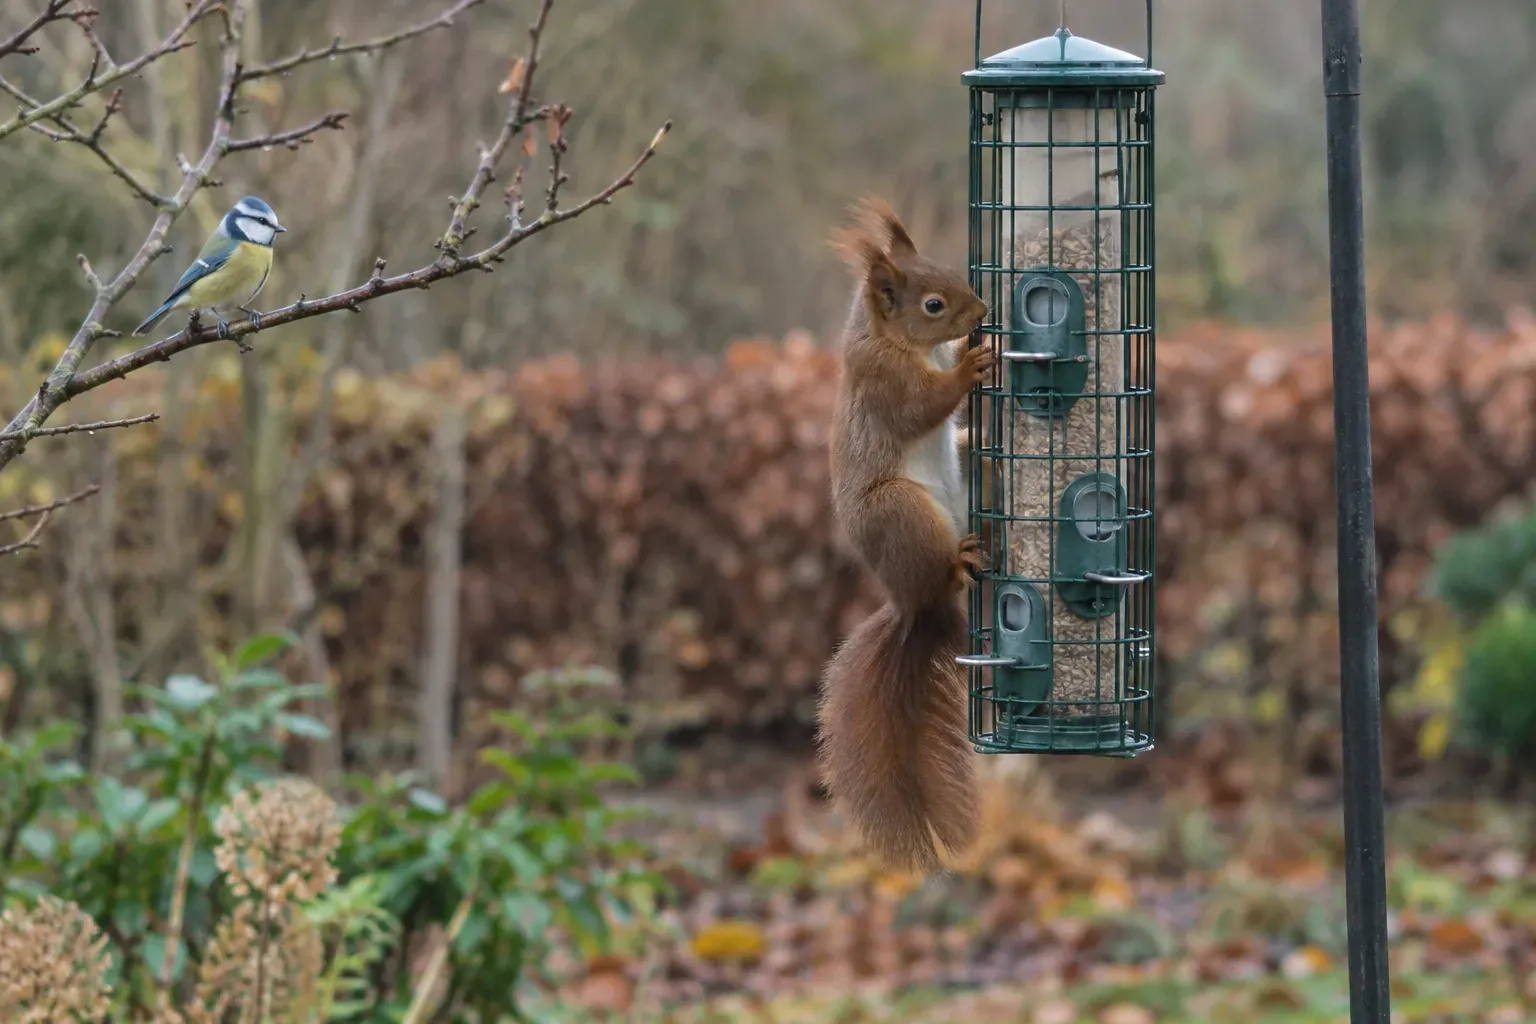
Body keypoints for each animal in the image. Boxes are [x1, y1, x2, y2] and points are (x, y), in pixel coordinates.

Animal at [816, 196, 994, 874]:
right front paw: (970, 365)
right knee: (941, 566)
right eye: (933, 305)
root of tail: (915, 609)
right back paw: (960, 562)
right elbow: (923, 406)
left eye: (947, 269)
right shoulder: (884, 383)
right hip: (904, 514)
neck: (887, 338)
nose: (983, 312)